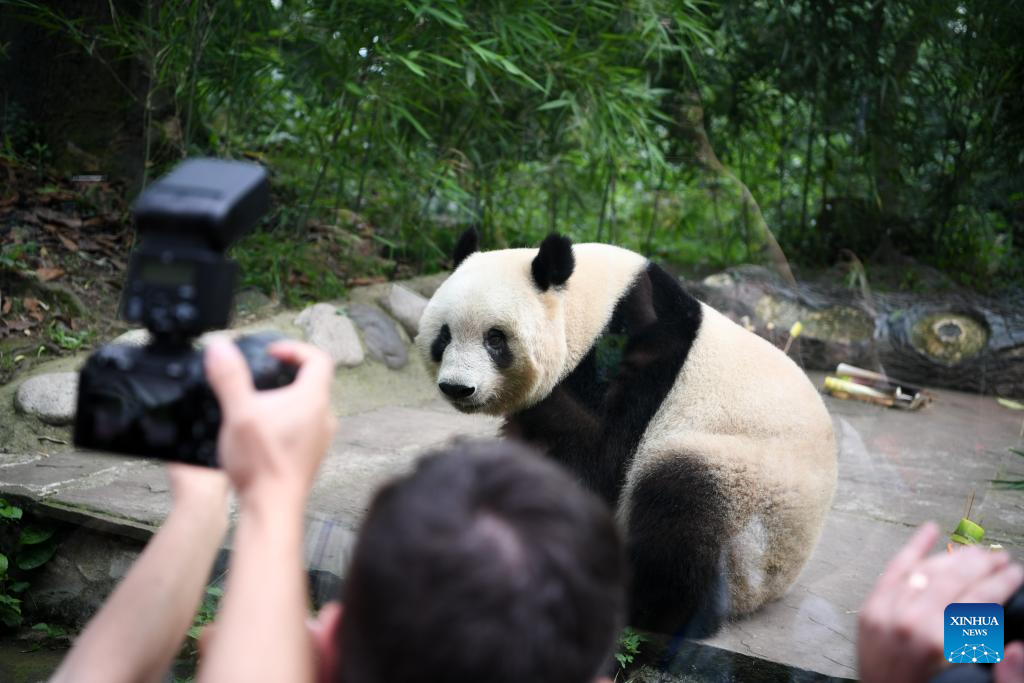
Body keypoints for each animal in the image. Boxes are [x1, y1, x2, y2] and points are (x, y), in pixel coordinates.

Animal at [411, 229, 835, 634]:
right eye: (444, 336)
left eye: (495, 338)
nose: (457, 388)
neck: (592, 306)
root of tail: (772, 587)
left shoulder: (630, 358)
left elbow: (592, 456)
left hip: (753, 489)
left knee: (684, 503)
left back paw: (646, 605)